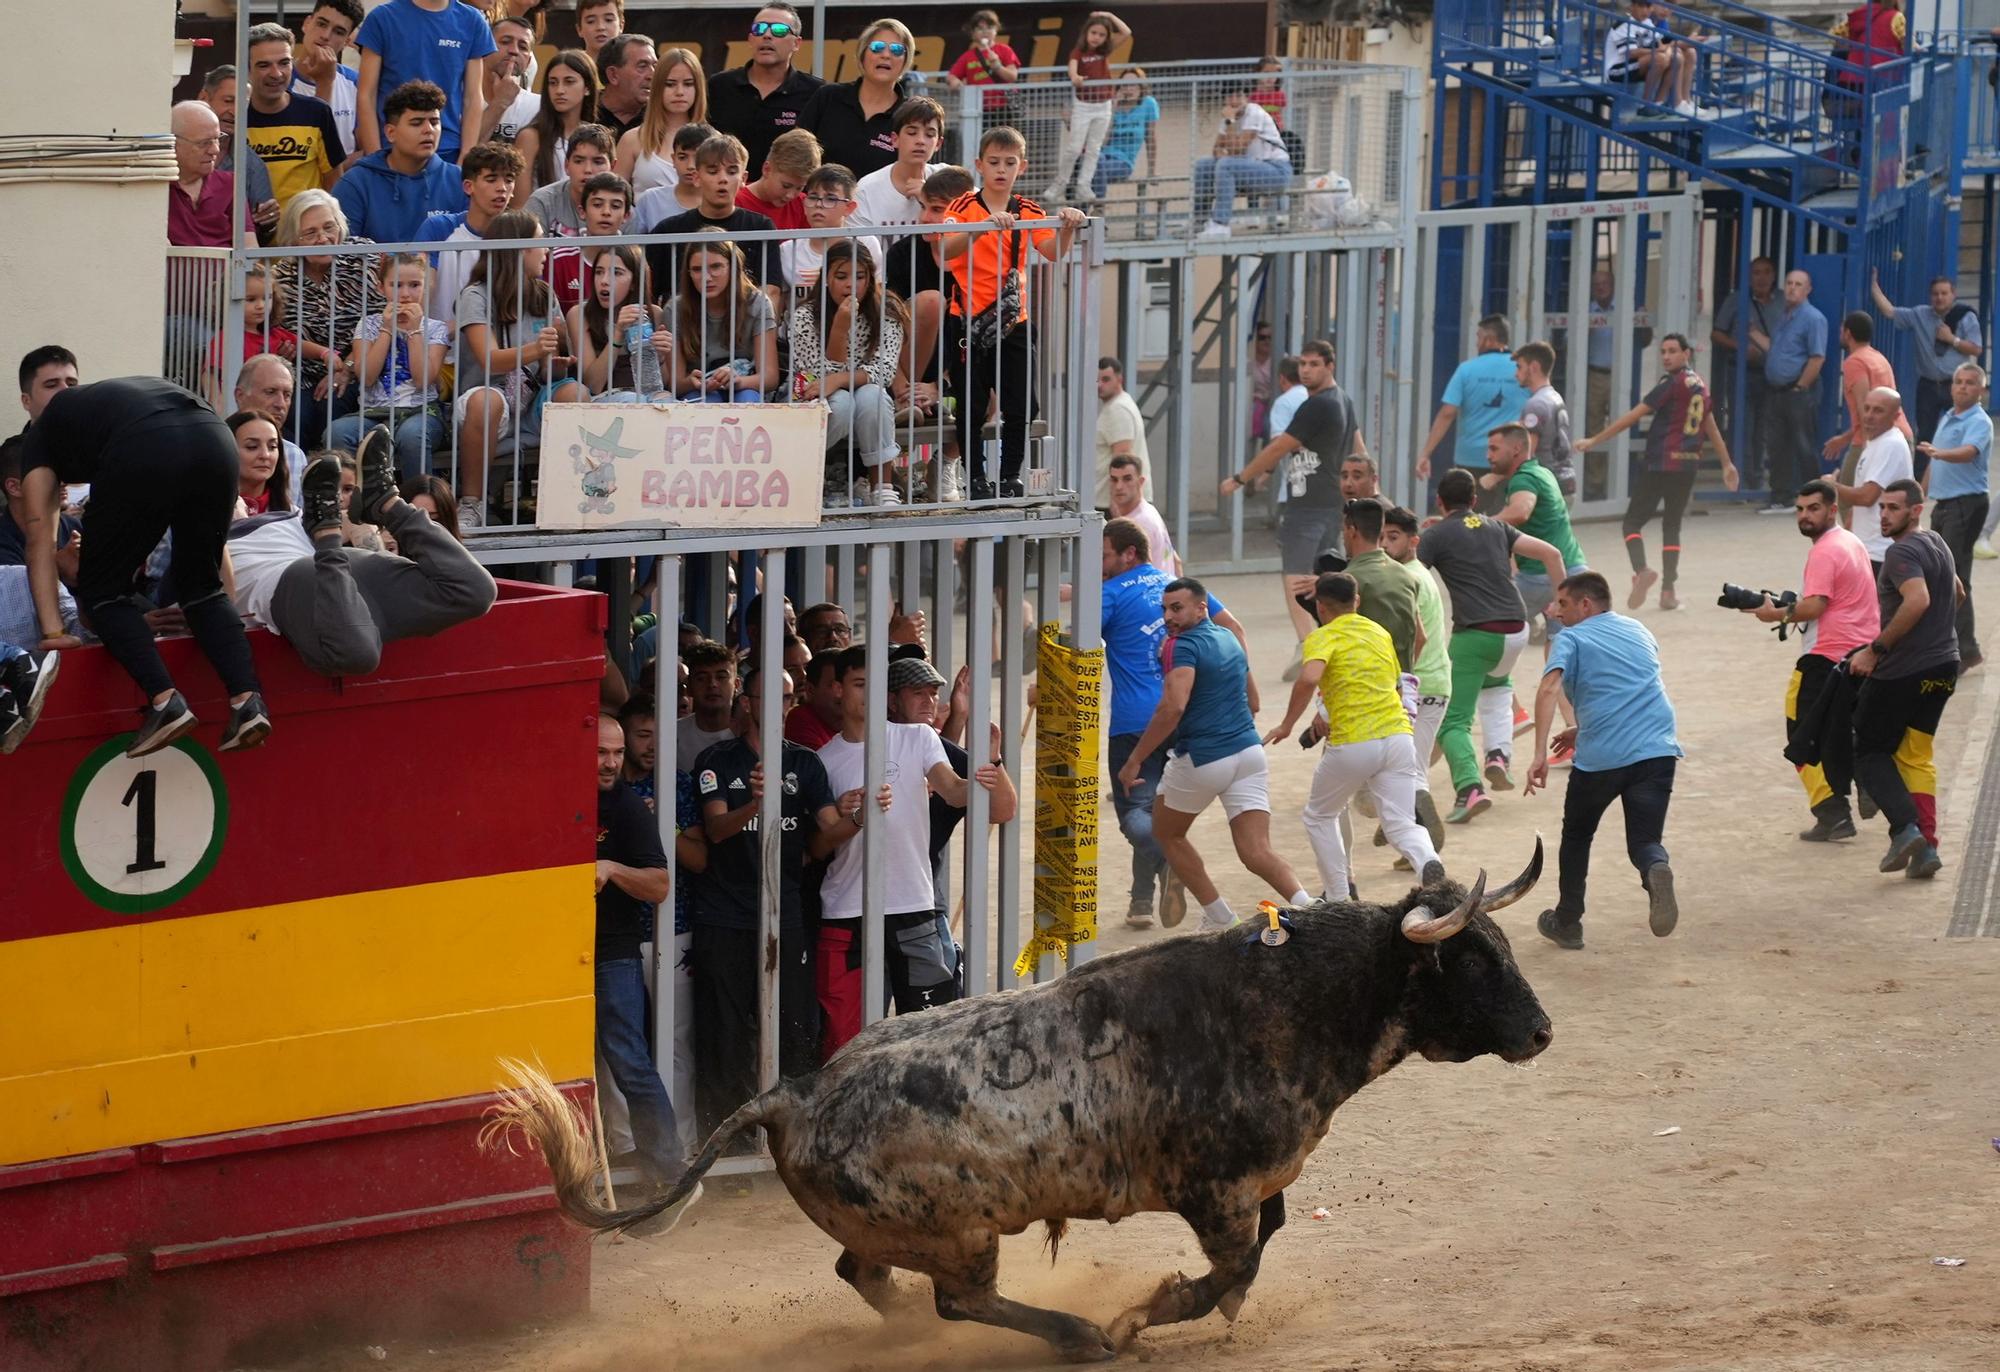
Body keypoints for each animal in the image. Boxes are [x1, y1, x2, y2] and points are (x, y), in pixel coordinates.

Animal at [484, 848, 1544, 1368]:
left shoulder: (1256, 1186)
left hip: (901, 1229)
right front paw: (1141, 1317)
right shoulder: (1217, 1192)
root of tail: (794, 1089)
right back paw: (1078, 1338)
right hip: (959, 1231)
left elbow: (1264, 1247)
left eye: (1501, 946)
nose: (1538, 1032)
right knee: (961, 1298)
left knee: (867, 1276)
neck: (1294, 1000)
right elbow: (1235, 1264)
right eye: (1472, 960)